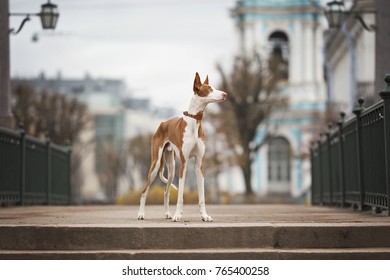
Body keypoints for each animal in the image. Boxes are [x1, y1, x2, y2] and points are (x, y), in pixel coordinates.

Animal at [138, 73, 227, 222]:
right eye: (209, 89)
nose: (225, 94)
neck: (194, 121)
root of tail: (162, 123)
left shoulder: (199, 164)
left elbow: (202, 196)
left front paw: (204, 216)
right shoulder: (184, 164)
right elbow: (180, 196)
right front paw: (177, 215)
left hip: (172, 168)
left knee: (166, 192)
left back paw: (167, 213)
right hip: (155, 165)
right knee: (145, 191)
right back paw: (141, 214)